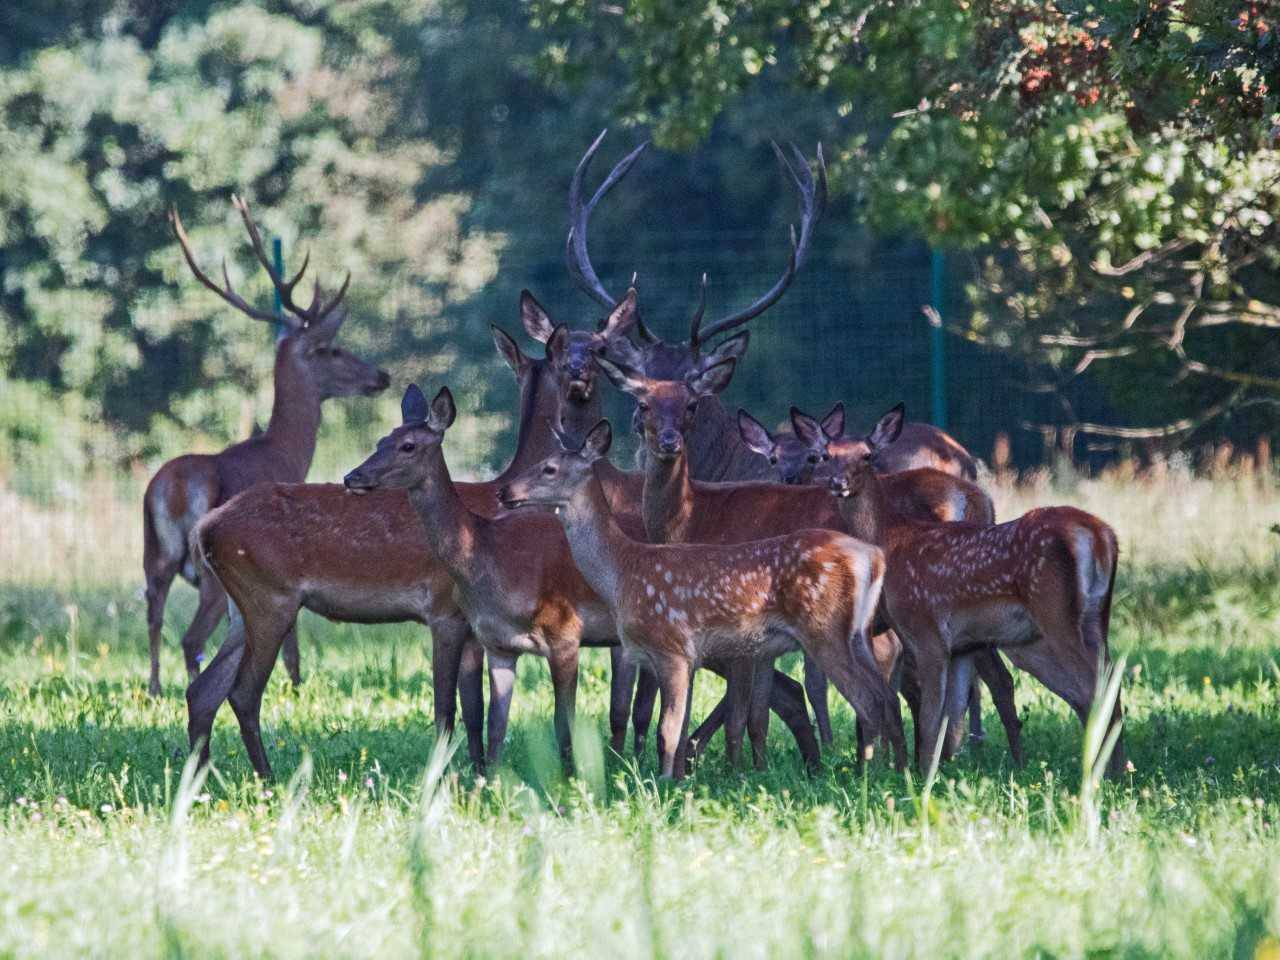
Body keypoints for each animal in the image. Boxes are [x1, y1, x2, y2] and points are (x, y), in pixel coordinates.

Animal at [144, 200, 384, 701]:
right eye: (332, 349)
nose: (382, 376)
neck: (286, 451)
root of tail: (173, 490)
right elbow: (291, 632)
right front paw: (295, 682)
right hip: (209, 573)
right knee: (191, 637)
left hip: (152, 553)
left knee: (153, 611)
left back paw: (155, 689)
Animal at [494, 419, 906, 783]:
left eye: (549, 468)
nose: (504, 492)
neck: (622, 573)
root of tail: (873, 557)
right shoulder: (686, 656)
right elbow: (679, 727)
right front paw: (679, 780)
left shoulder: (671, 646)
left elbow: (667, 730)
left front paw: (662, 785)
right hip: (858, 634)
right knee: (887, 697)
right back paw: (897, 771)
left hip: (824, 630)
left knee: (868, 700)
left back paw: (865, 776)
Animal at [829, 404, 1121, 773]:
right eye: (826, 455)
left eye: (867, 455)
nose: (837, 483)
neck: (891, 539)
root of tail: (1100, 535)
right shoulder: (962, 645)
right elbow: (952, 717)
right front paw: (945, 770)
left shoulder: (926, 631)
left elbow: (931, 718)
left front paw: (923, 775)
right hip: (1097, 616)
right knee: (1110, 685)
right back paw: (1118, 770)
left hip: (1056, 614)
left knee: (1093, 689)